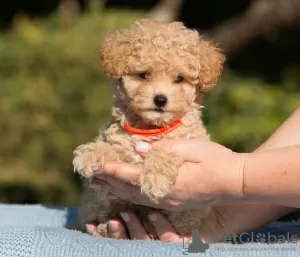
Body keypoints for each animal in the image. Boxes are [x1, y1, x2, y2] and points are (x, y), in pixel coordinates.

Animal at [71, 19, 224, 237]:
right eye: (144, 75)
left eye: (179, 79)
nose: (160, 99)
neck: (150, 127)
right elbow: (110, 147)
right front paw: (91, 153)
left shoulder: (190, 144)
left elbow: (166, 150)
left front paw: (155, 179)